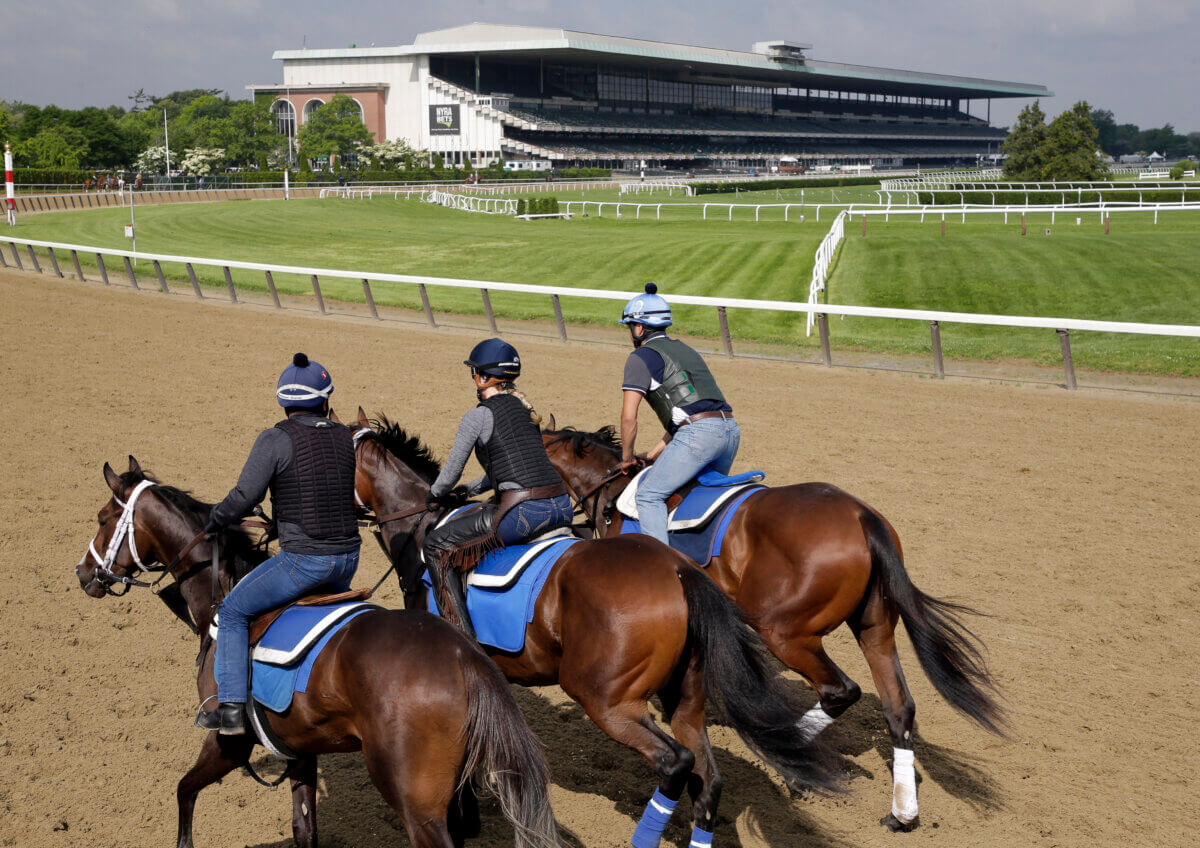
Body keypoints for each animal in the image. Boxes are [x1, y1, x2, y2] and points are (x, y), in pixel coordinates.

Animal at [77, 458, 564, 848]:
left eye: (102, 518)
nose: (82, 572)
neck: (222, 593)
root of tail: (463, 657)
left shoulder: (227, 742)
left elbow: (183, 791)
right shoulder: (298, 748)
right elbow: (304, 829)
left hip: (417, 806)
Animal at [350, 412, 844, 848]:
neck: (422, 533)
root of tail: (676, 568)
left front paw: (463, 818)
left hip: (606, 700)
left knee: (676, 763)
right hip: (684, 700)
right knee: (708, 780)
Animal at [542, 422, 1003, 834]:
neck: (613, 491)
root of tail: (861, 515)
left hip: (784, 633)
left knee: (840, 691)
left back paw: (792, 764)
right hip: (874, 630)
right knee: (898, 707)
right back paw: (901, 813)